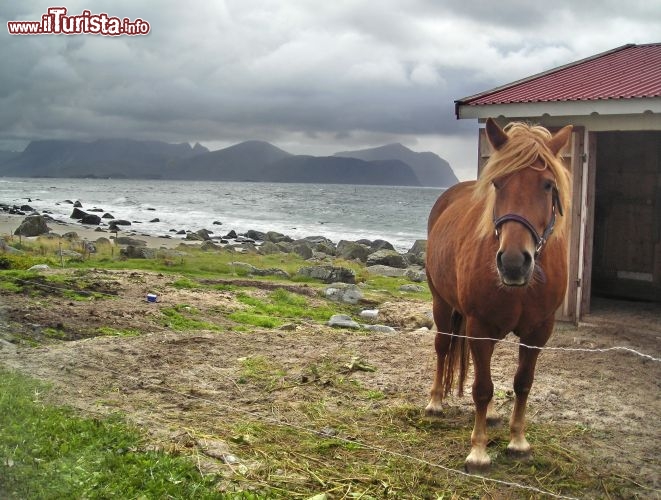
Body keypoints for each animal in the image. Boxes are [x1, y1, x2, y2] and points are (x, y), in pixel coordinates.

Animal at [422, 118, 572, 472]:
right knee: (443, 347)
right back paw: (435, 401)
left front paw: (518, 441)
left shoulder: (538, 331)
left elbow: (522, 383)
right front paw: (478, 450)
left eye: (548, 185)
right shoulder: (479, 327)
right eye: (498, 183)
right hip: (442, 304)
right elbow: (482, 387)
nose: (514, 262)